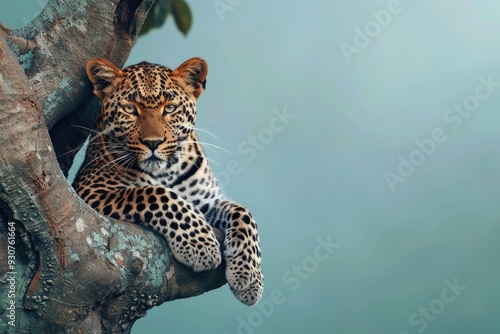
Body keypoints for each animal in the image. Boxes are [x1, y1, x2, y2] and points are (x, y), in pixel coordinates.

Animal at [72, 57, 264, 306]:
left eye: (170, 108)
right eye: (130, 109)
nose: (153, 142)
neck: (166, 171)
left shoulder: (207, 202)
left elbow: (244, 213)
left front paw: (249, 278)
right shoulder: (89, 190)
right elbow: (156, 193)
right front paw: (202, 246)